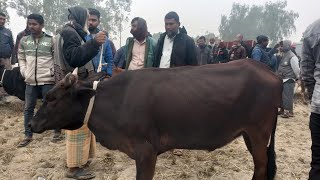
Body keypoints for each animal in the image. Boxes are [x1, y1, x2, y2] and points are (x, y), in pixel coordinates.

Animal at [30, 59, 280, 179]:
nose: (32, 124)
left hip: (258, 133)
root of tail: (269, 71)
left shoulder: (146, 152)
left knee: (261, 167)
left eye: (52, 98)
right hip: (249, 135)